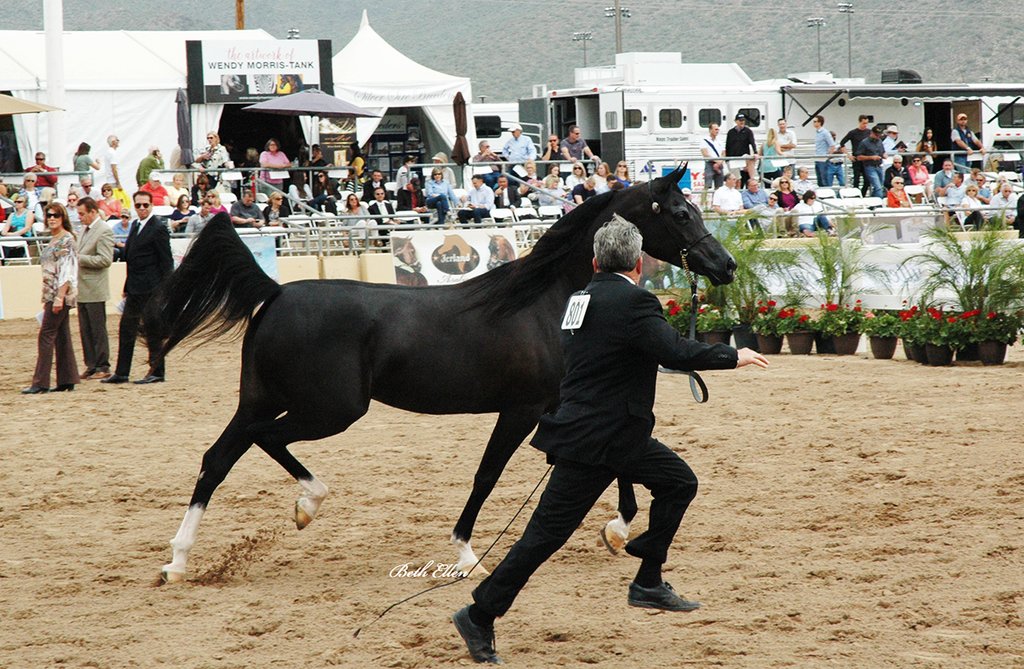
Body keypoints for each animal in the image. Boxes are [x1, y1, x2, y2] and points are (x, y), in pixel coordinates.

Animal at [144, 167, 736, 583]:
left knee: (218, 458)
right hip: (330, 410)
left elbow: (613, 458)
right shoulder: (521, 409)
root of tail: (276, 292)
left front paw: (616, 529)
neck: (542, 303)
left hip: (261, 399)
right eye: (681, 212)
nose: (725, 265)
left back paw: (178, 562)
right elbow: (487, 474)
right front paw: (468, 553)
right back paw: (306, 506)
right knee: (264, 442)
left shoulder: (560, 407)